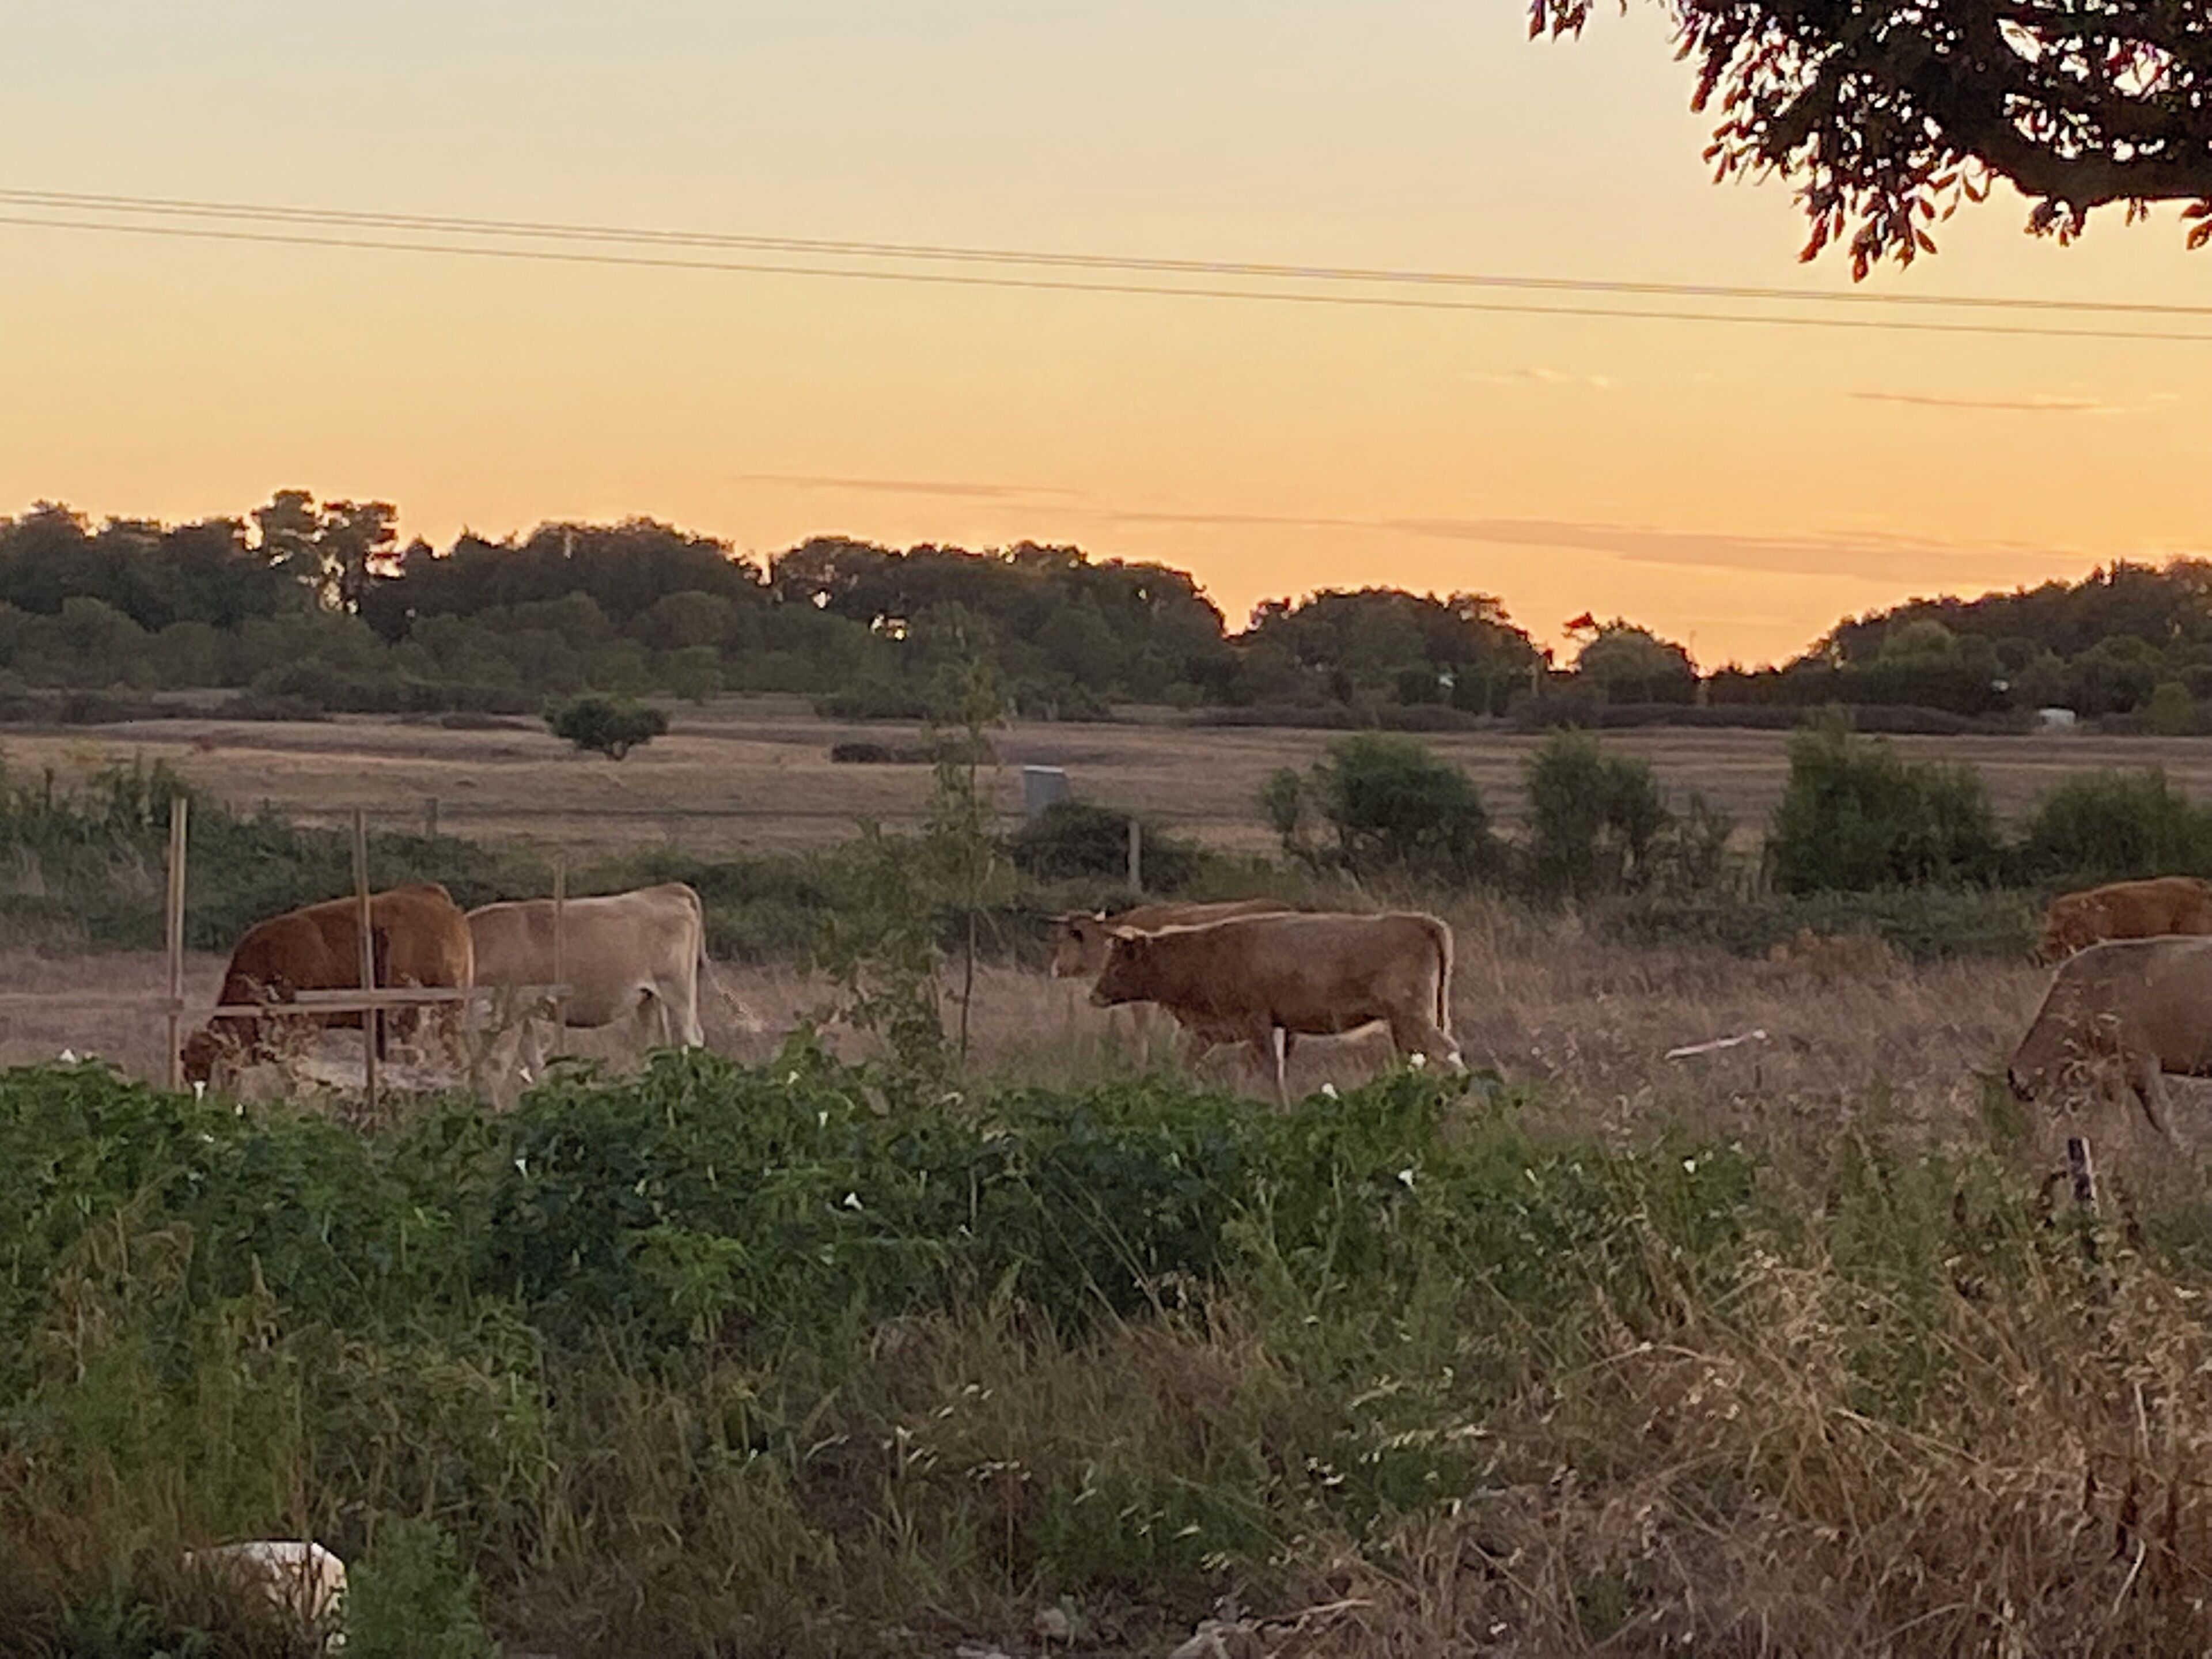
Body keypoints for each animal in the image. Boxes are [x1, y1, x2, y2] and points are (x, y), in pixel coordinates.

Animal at [1090, 910, 1461, 1104]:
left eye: (1117, 966)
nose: (1094, 995)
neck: (1205, 953)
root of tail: (1418, 921)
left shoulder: (1257, 1022)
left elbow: (1270, 1070)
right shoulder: (1218, 1030)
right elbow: (1186, 1063)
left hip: (1412, 1018)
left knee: (1447, 1051)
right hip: (1404, 1025)